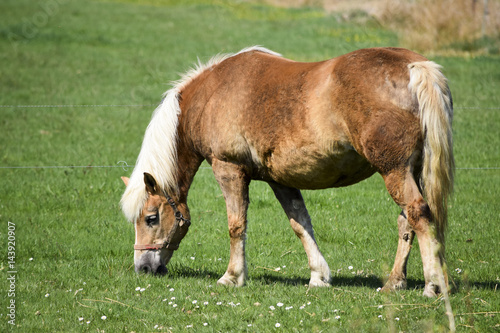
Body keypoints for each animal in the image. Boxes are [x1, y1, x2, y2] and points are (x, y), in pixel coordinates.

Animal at [120, 44, 454, 296]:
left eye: (151, 218)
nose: (143, 268)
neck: (211, 95)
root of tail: (414, 66)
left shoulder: (229, 169)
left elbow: (236, 225)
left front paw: (232, 276)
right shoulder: (280, 180)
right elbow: (301, 224)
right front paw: (319, 276)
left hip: (394, 170)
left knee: (418, 214)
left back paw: (433, 286)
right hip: (411, 171)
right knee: (406, 221)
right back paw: (395, 282)